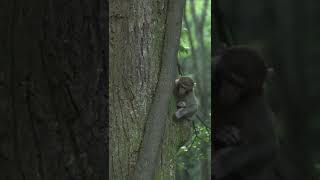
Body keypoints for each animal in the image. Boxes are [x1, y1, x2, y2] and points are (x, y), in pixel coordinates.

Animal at [212, 46, 280, 180]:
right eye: (229, 79)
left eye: (240, 85)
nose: (229, 91)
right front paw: (222, 132)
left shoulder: (256, 97)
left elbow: (267, 144)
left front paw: (223, 161)